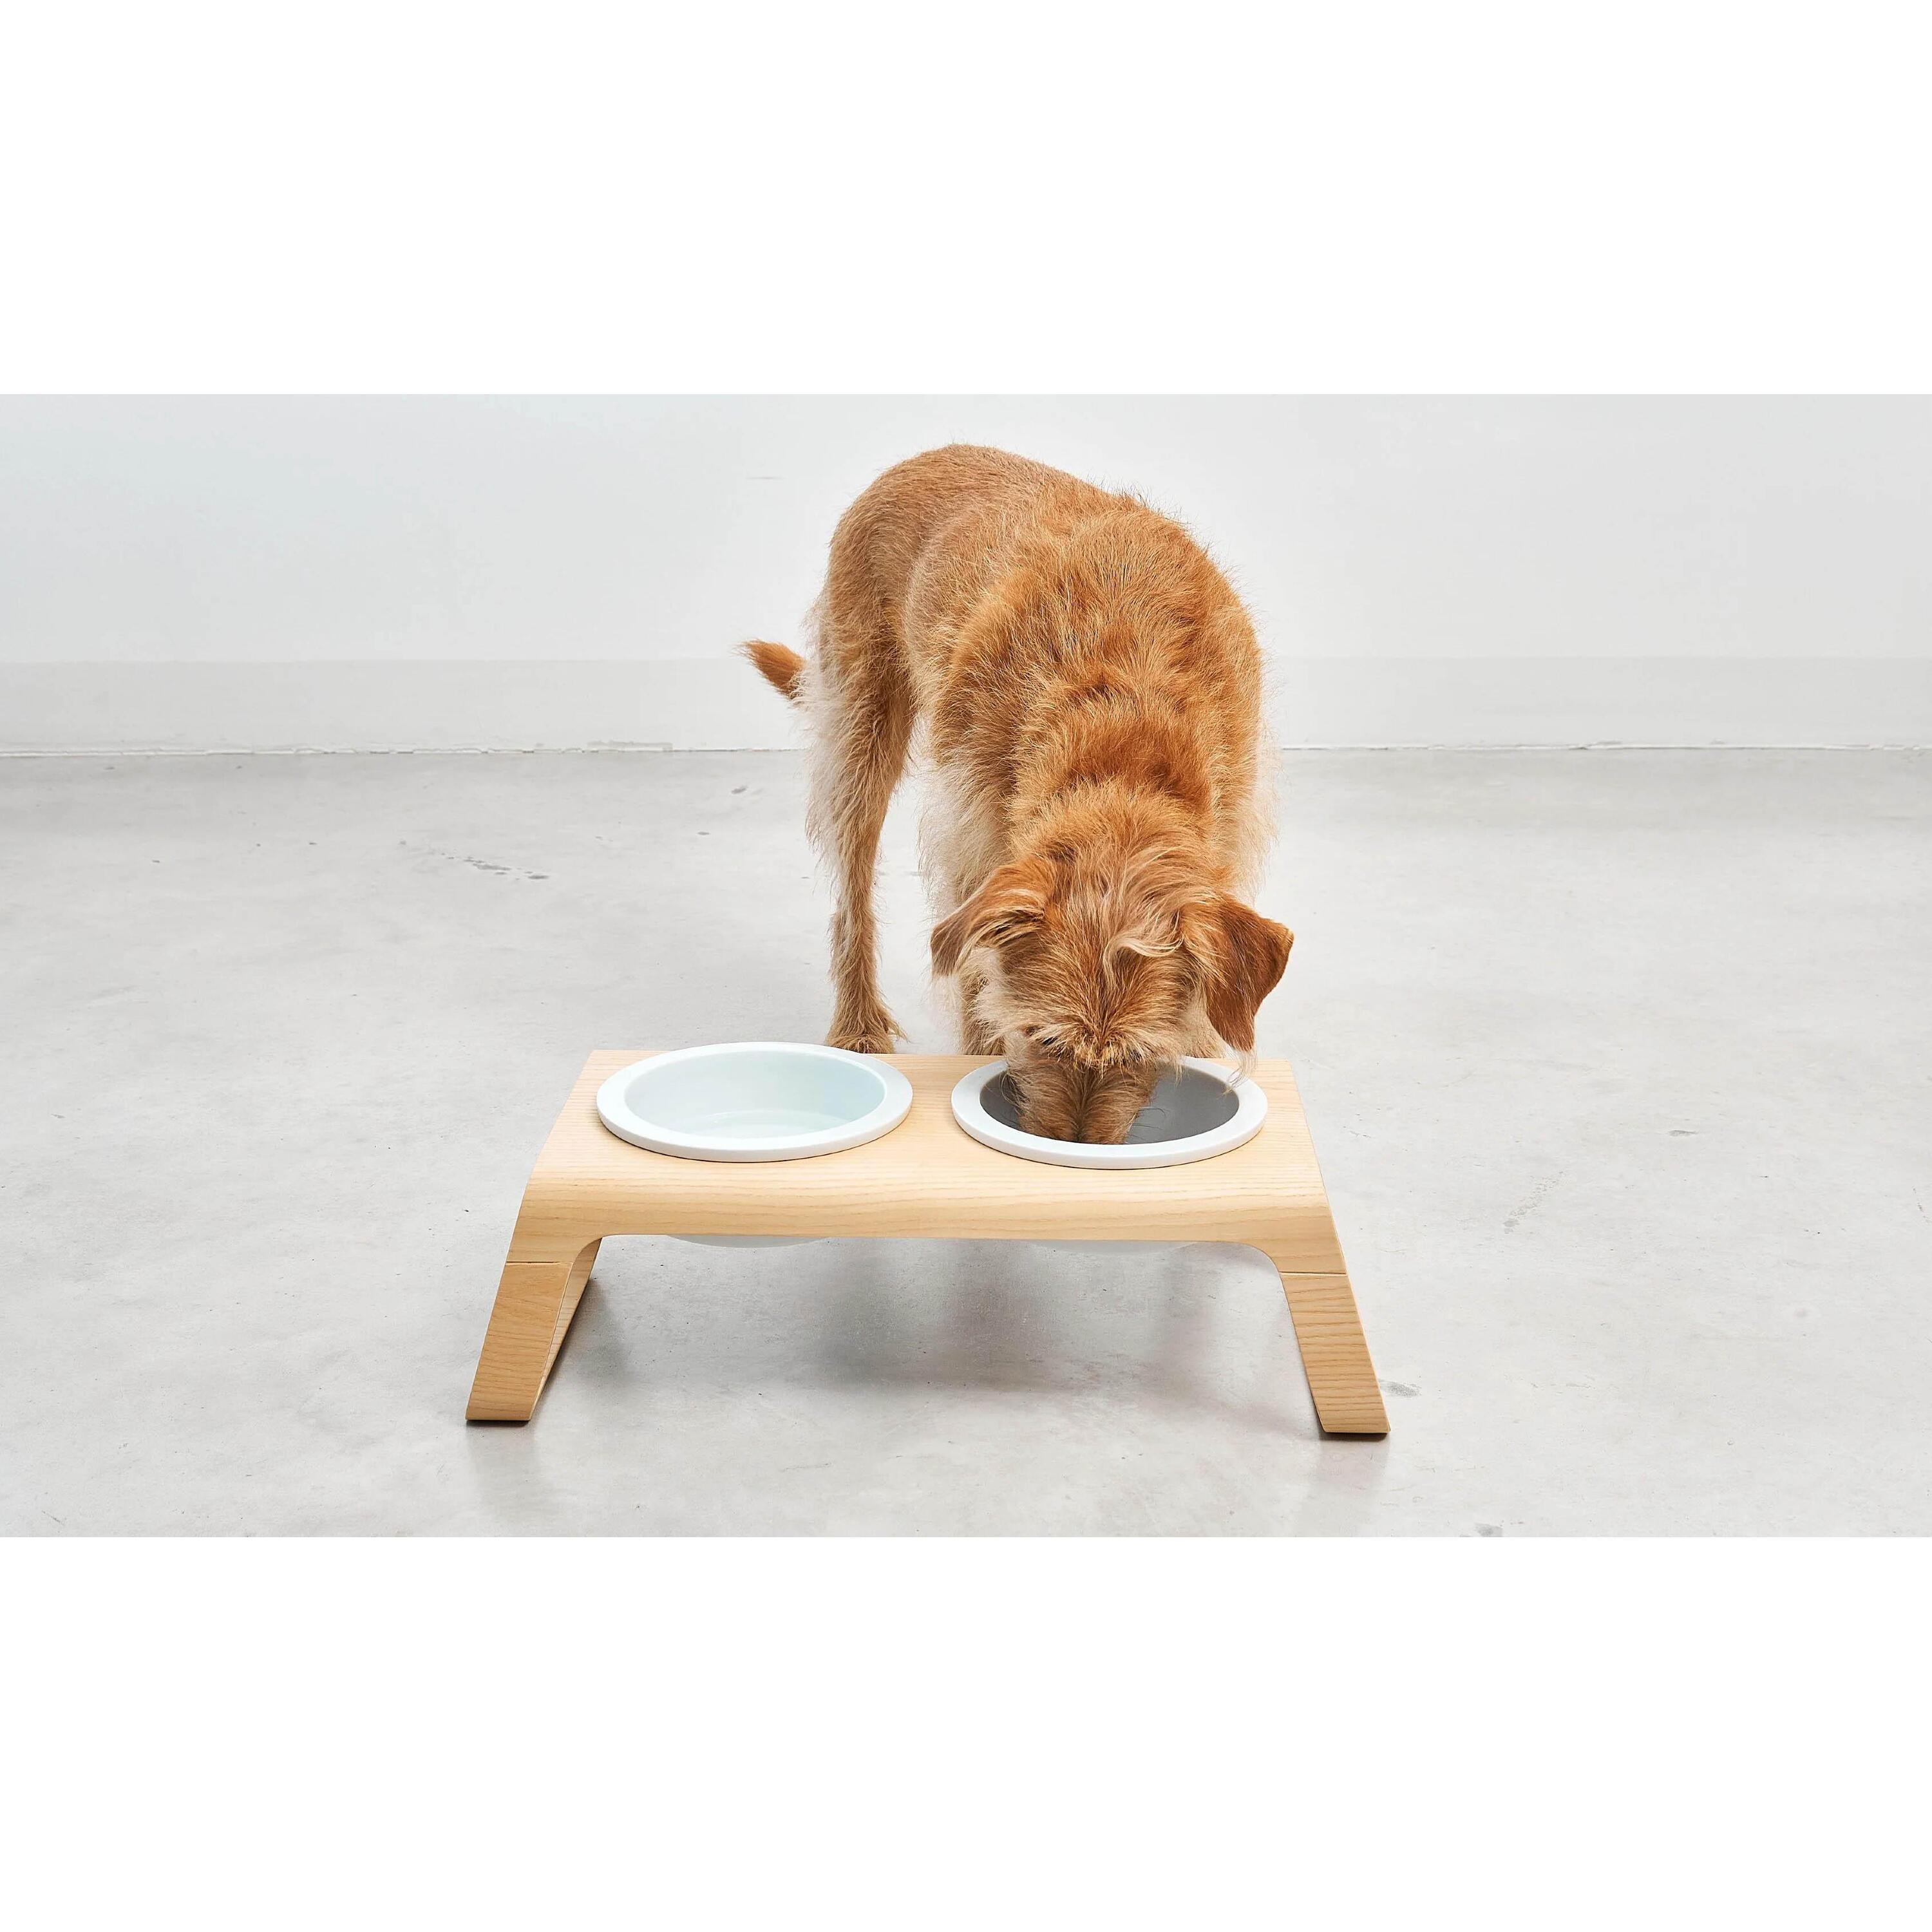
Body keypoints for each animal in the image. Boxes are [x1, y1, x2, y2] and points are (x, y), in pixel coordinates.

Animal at [744, 444, 1291, 1144]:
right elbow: (978, 977)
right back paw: (858, 1026)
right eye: (1043, 1038)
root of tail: (921, 457)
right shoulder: (971, 847)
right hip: (860, 733)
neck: (1123, 741)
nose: (1076, 1147)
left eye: (1140, 1054)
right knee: (852, 893)